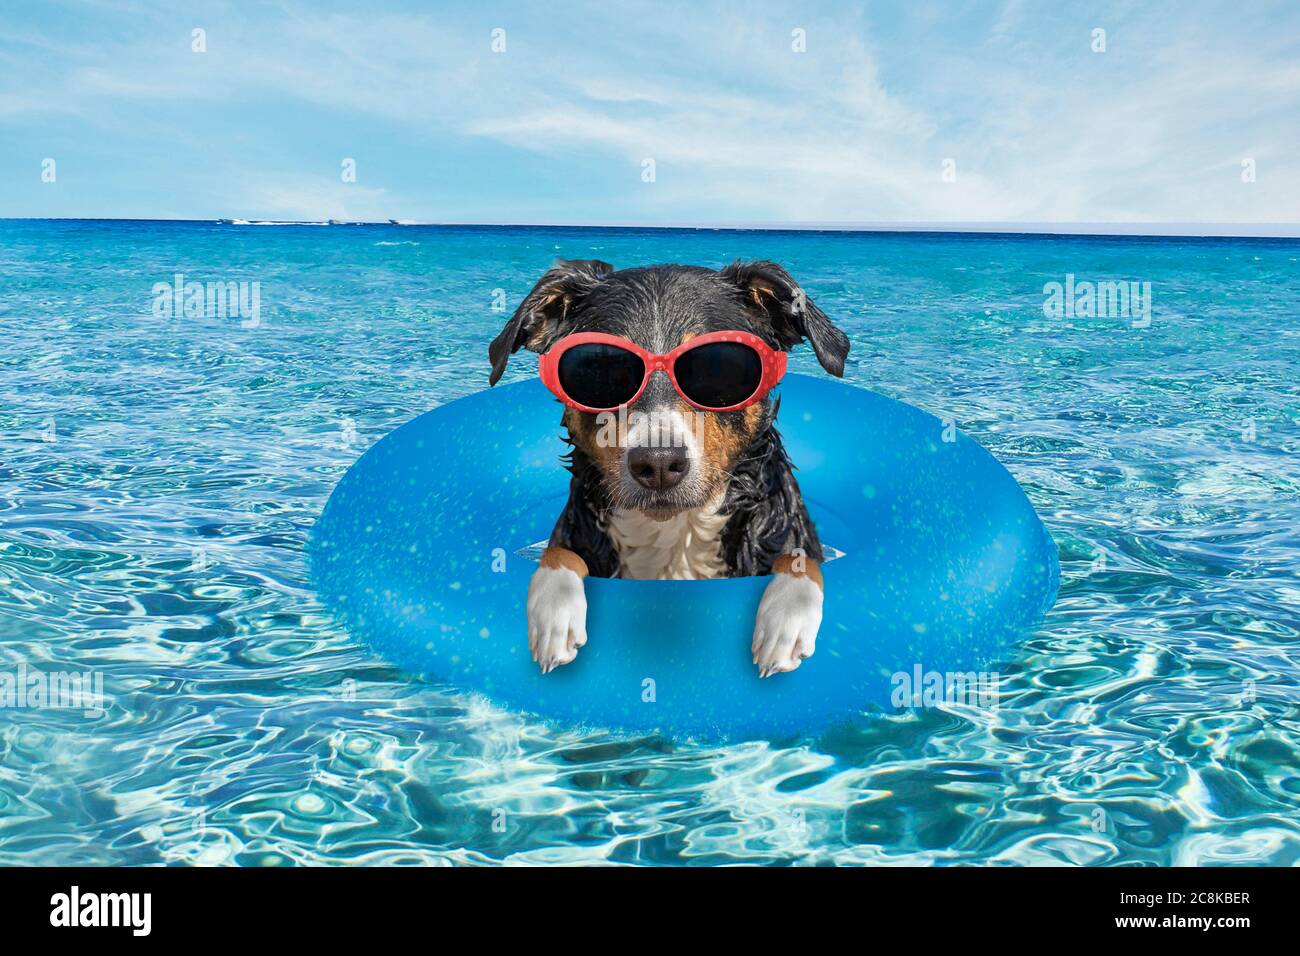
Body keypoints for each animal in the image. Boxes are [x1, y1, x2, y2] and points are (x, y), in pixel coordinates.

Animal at [488, 261, 852, 676]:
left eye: (719, 367)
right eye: (599, 367)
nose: (659, 462)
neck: (675, 535)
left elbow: (800, 559)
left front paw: (786, 619)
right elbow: (558, 553)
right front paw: (554, 610)